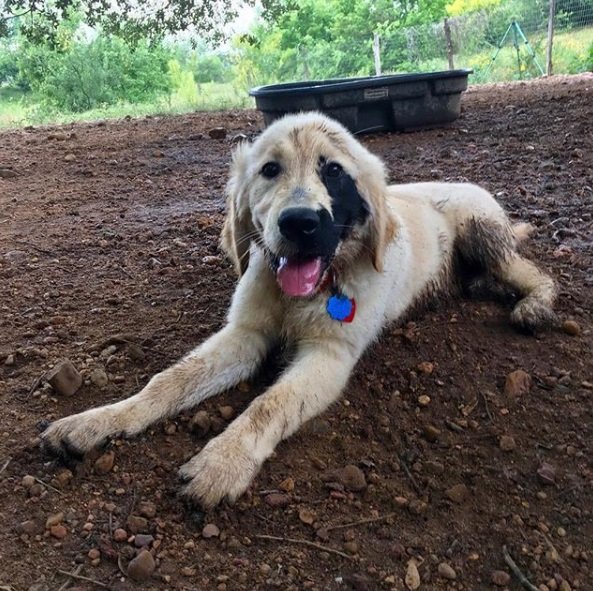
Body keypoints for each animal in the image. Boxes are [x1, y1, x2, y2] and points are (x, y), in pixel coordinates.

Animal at [41, 112, 557, 508]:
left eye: (334, 172)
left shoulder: (329, 355)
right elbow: (169, 381)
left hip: (480, 229)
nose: (300, 223)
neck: (312, 289)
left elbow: (269, 404)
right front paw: (101, 419)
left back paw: (535, 304)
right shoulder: (245, 334)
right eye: (270, 169)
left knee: (537, 273)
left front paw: (222, 462)